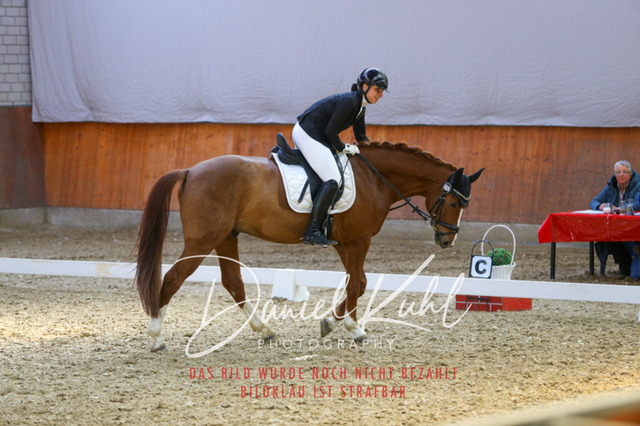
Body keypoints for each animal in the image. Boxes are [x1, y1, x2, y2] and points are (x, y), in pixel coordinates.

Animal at [135, 141, 483, 351]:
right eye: (455, 201)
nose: (447, 239)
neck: (375, 179)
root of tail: (190, 171)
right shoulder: (358, 240)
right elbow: (356, 283)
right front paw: (355, 329)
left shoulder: (344, 242)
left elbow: (360, 282)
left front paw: (330, 322)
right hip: (204, 239)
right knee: (173, 279)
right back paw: (156, 337)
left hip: (226, 237)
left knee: (233, 283)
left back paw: (265, 330)